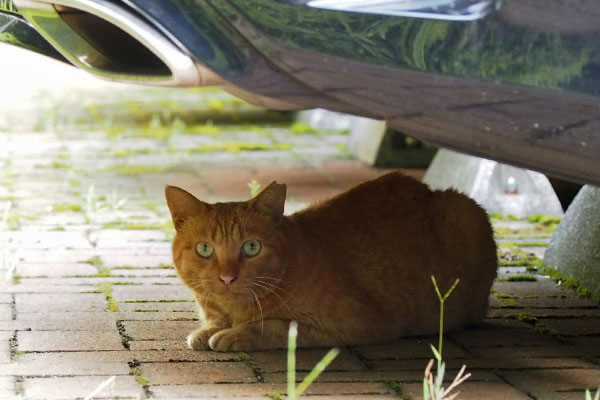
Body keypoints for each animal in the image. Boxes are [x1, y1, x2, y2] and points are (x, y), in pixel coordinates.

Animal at [165, 172, 496, 350]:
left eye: (251, 247)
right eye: (205, 249)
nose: (227, 278)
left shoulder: (354, 324)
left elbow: (274, 326)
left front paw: (235, 334)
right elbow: (213, 321)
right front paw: (208, 330)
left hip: (468, 214)